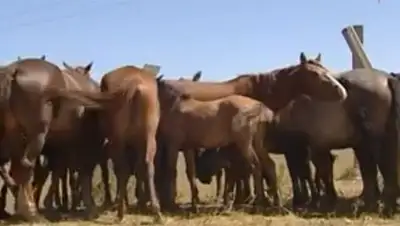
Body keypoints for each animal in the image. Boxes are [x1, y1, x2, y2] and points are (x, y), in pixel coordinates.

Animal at [99, 65, 162, 222]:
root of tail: (134, 87)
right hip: (149, 135)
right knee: (147, 165)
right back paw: (156, 211)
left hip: (120, 139)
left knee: (123, 169)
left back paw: (122, 211)